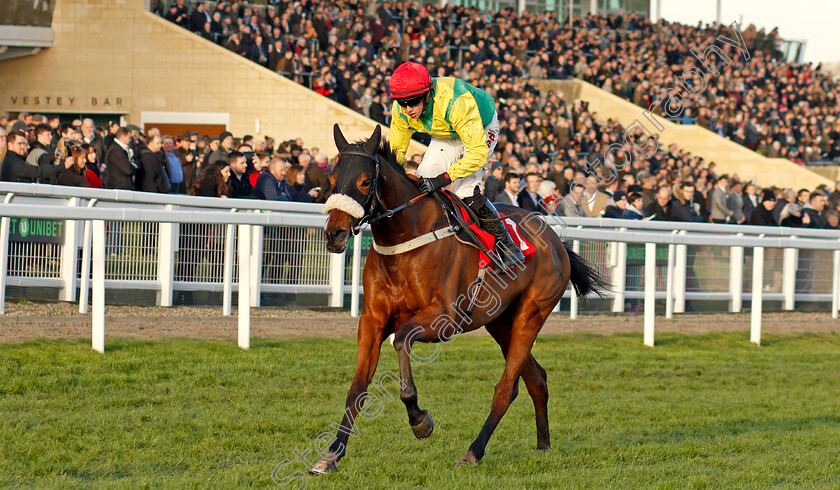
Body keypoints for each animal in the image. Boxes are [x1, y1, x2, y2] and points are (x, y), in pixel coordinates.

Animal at [312, 124, 608, 472]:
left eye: (365, 182)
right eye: (331, 179)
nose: (335, 234)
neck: (406, 237)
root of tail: (555, 239)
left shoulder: (444, 319)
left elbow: (402, 340)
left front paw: (420, 421)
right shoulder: (372, 320)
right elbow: (357, 387)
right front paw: (332, 454)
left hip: (531, 313)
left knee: (507, 387)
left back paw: (473, 451)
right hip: (500, 322)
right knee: (536, 378)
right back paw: (543, 445)